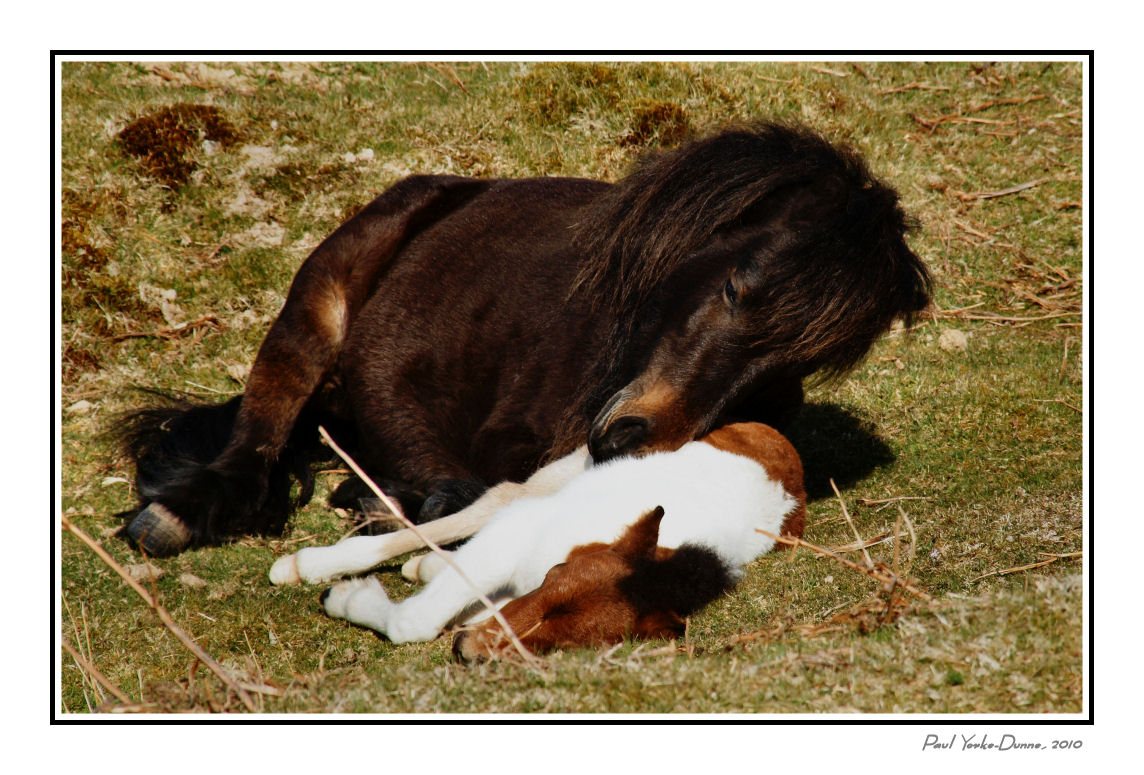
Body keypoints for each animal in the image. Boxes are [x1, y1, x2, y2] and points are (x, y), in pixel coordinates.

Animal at [125, 120, 928, 556]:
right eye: (736, 288)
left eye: (790, 370)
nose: (634, 438)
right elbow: (473, 486)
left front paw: (386, 504)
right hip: (316, 308)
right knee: (260, 429)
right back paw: (178, 513)